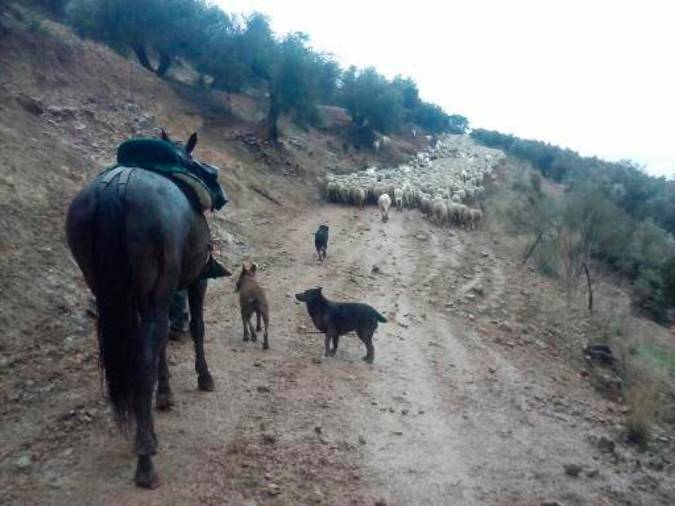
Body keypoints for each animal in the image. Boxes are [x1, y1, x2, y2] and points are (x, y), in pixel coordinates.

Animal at [66, 130, 230, 486]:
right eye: (195, 161)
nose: (220, 192)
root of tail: (117, 188)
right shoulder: (196, 282)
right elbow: (196, 328)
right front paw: (204, 377)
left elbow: (163, 346)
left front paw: (165, 394)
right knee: (144, 357)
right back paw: (145, 456)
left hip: (111, 295)